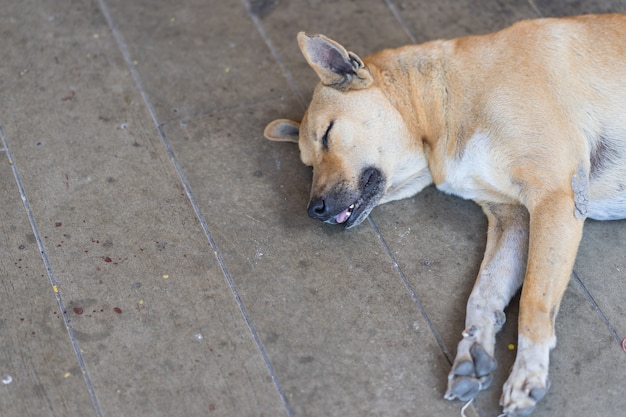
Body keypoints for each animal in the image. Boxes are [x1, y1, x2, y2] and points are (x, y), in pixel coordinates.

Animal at [264, 13, 624, 416]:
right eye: (308, 165)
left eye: (327, 134)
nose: (314, 210)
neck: (439, 112)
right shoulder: (513, 217)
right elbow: (483, 294)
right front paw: (472, 350)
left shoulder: (555, 195)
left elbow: (534, 300)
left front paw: (527, 375)